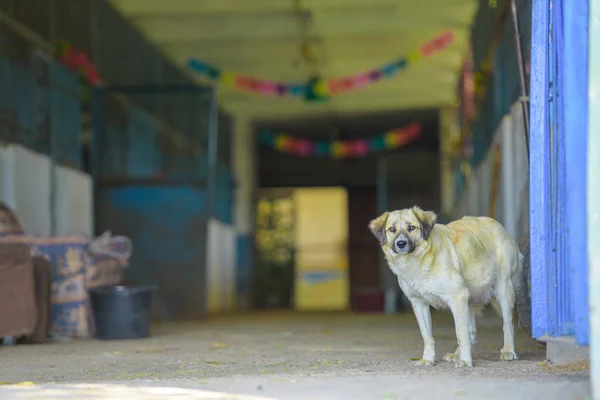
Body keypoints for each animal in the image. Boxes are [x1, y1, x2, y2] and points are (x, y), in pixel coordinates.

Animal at [368, 208, 524, 368]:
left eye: (411, 227)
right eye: (392, 229)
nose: (400, 243)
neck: (420, 259)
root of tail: (499, 226)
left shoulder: (457, 297)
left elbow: (461, 333)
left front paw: (466, 361)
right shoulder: (419, 303)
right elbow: (427, 336)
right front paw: (428, 359)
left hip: (503, 290)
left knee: (508, 324)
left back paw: (508, 351)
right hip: (469, 299)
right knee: (471, 330)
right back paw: (456, 354)